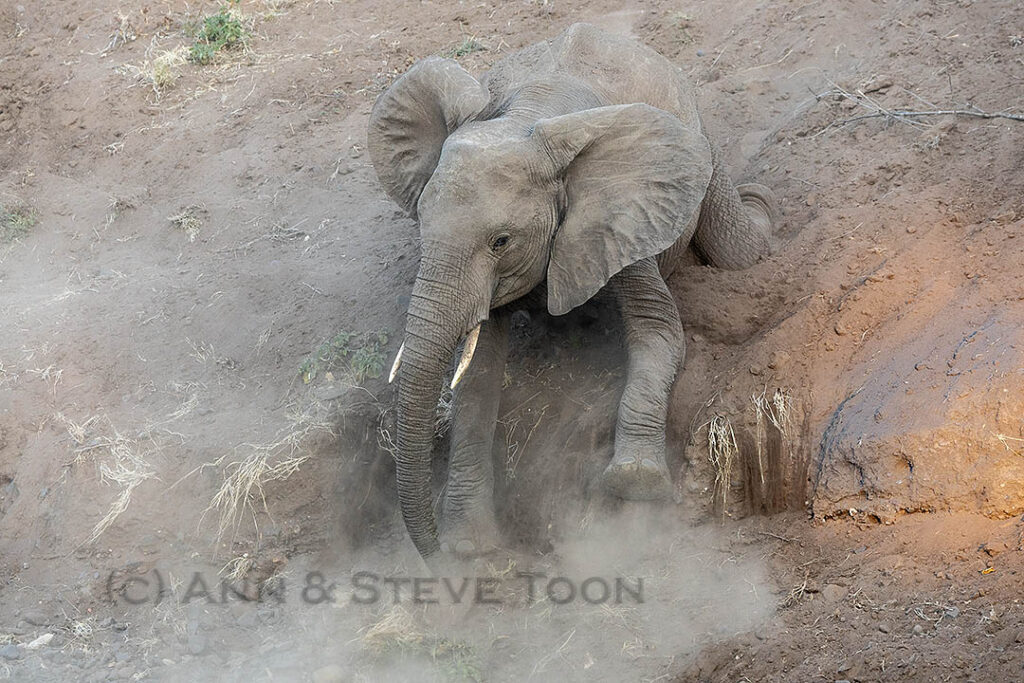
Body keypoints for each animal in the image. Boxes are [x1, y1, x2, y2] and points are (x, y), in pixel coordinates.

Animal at [366, 23, 779, 565]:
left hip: (702, 150)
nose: (431, 556)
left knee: (738, 248)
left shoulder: (624, 210)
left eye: (501, 242)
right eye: (421, 224)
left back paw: (758, 207)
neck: (528, 118)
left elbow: (658, 330)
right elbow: (477, 377)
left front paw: (634, 485)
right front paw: (470, 546)